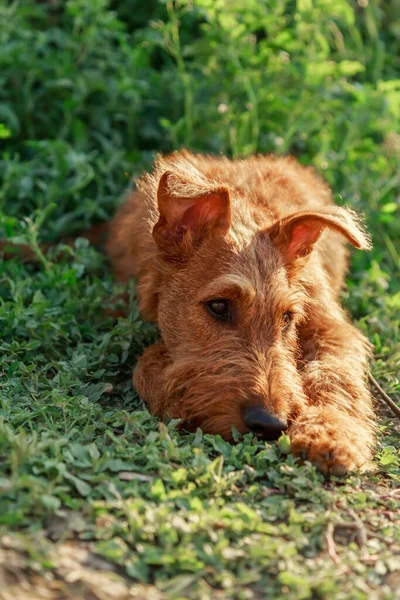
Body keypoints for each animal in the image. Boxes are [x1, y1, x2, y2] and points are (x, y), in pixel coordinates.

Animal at [105, 151, 376, 478]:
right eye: (219, 306)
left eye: (287, 317)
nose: (269, 424)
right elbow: (144, 367)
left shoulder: (330, 327)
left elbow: (335, 373)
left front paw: (330, 432)